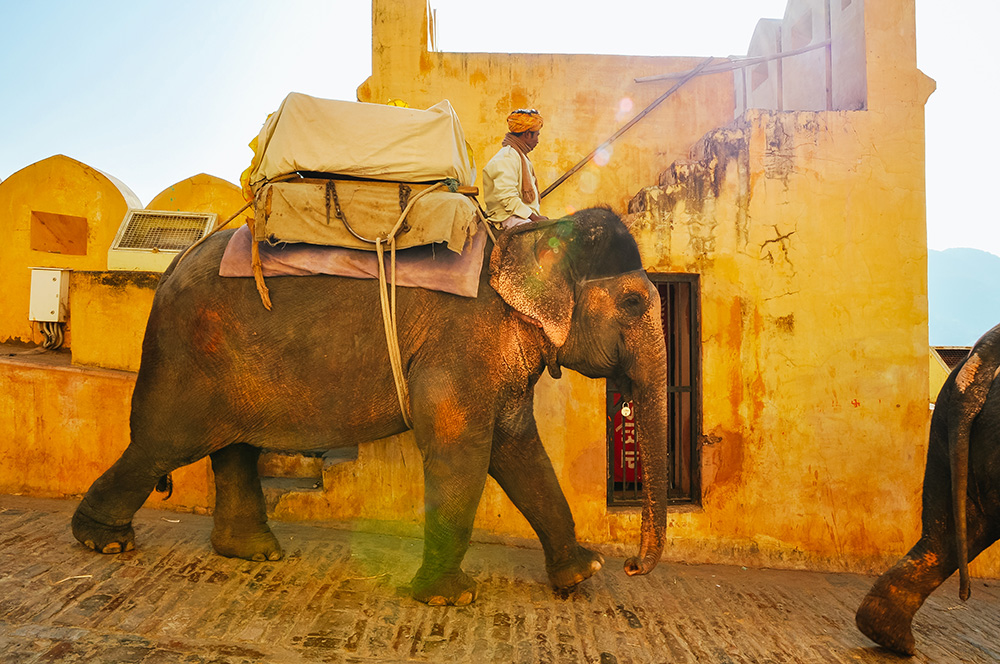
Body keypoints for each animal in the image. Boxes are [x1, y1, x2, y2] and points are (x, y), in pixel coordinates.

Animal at [72, 209, 672, 608]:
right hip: (185, 360)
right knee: (163, 445)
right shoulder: (462, 343)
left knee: (233, 447)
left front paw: (581, 574)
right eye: (633, 302)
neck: (529, 239)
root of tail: (173, 263)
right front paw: (450, 599)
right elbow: (462, 450)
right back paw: (103, 541)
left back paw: (255, 554)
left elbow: (520, 449)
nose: (632, 566)